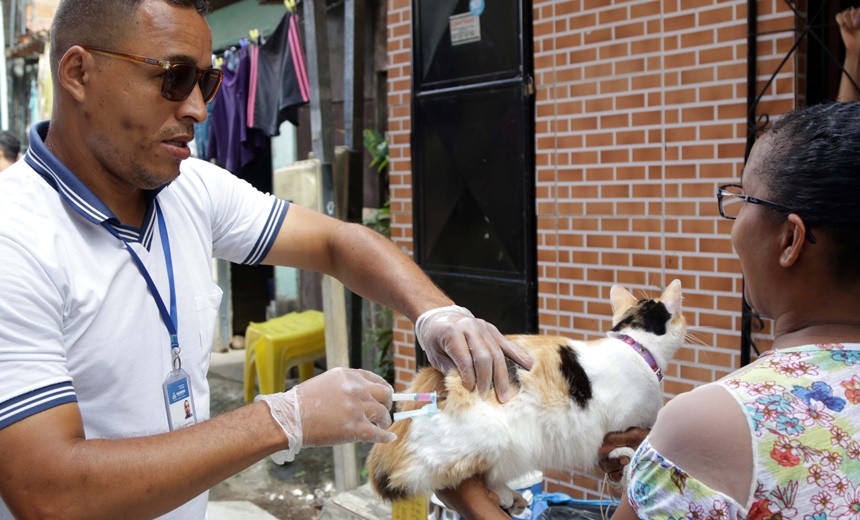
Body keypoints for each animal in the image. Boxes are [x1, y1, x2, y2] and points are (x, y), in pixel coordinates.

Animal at [368, 280, 684, 508]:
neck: (636, 346)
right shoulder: (621, 424)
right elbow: (624, 448)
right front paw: (626, 463)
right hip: (493, 438)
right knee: (461, 475)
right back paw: (506, 496)